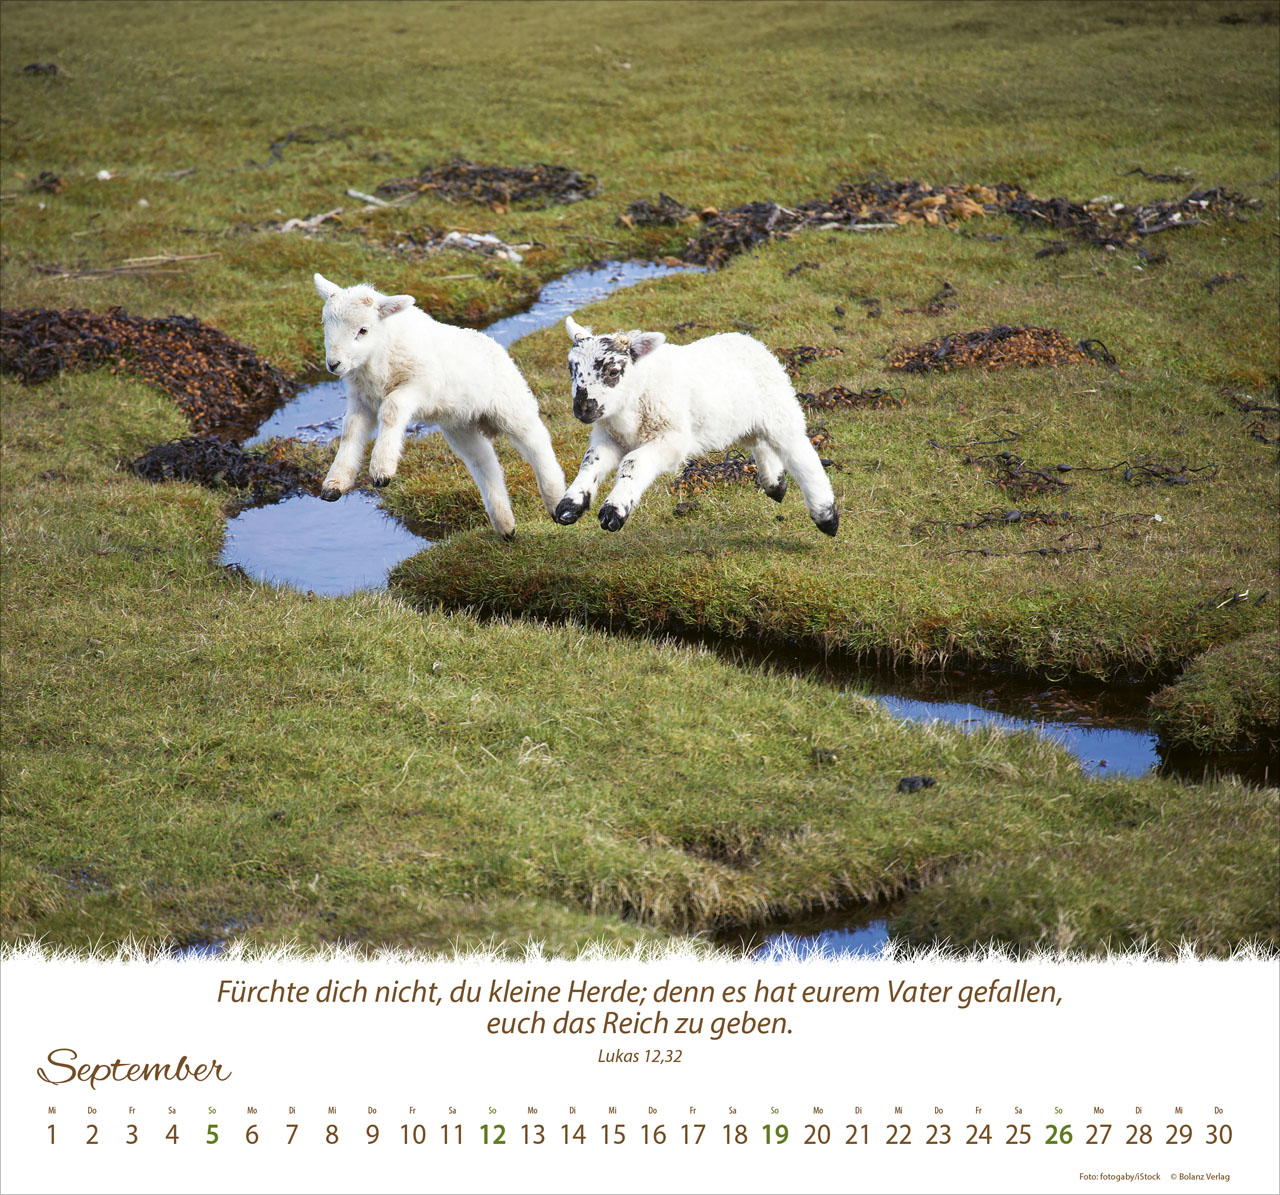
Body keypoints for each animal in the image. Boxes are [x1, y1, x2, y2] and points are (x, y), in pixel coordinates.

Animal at [312, 273, 565, 539]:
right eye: (324, 323)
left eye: (363, 330)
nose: (333, 364)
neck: (377, 359)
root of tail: (494, 345)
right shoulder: (362, 401)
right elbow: (350, 430)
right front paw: (335, 483)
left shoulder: (422, 386)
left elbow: (391, 410)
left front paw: (382, 469)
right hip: (459, 424)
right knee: (485, 462)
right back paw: (505, 524)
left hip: (510, 405)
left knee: (536, 442)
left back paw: (555, 500)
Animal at [553, 316, 839, 536]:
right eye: (571, 369)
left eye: (613, 372)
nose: (582, 408)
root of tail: (749, 341)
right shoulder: (609, 438)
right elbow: (591, 461)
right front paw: (570, 505)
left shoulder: (671, 439)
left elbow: (632, 462)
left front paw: (613, 510)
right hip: (745, 420)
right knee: (761, 444)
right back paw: (775, 485)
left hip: (779, 409)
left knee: (801, 455)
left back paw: (826, 517)